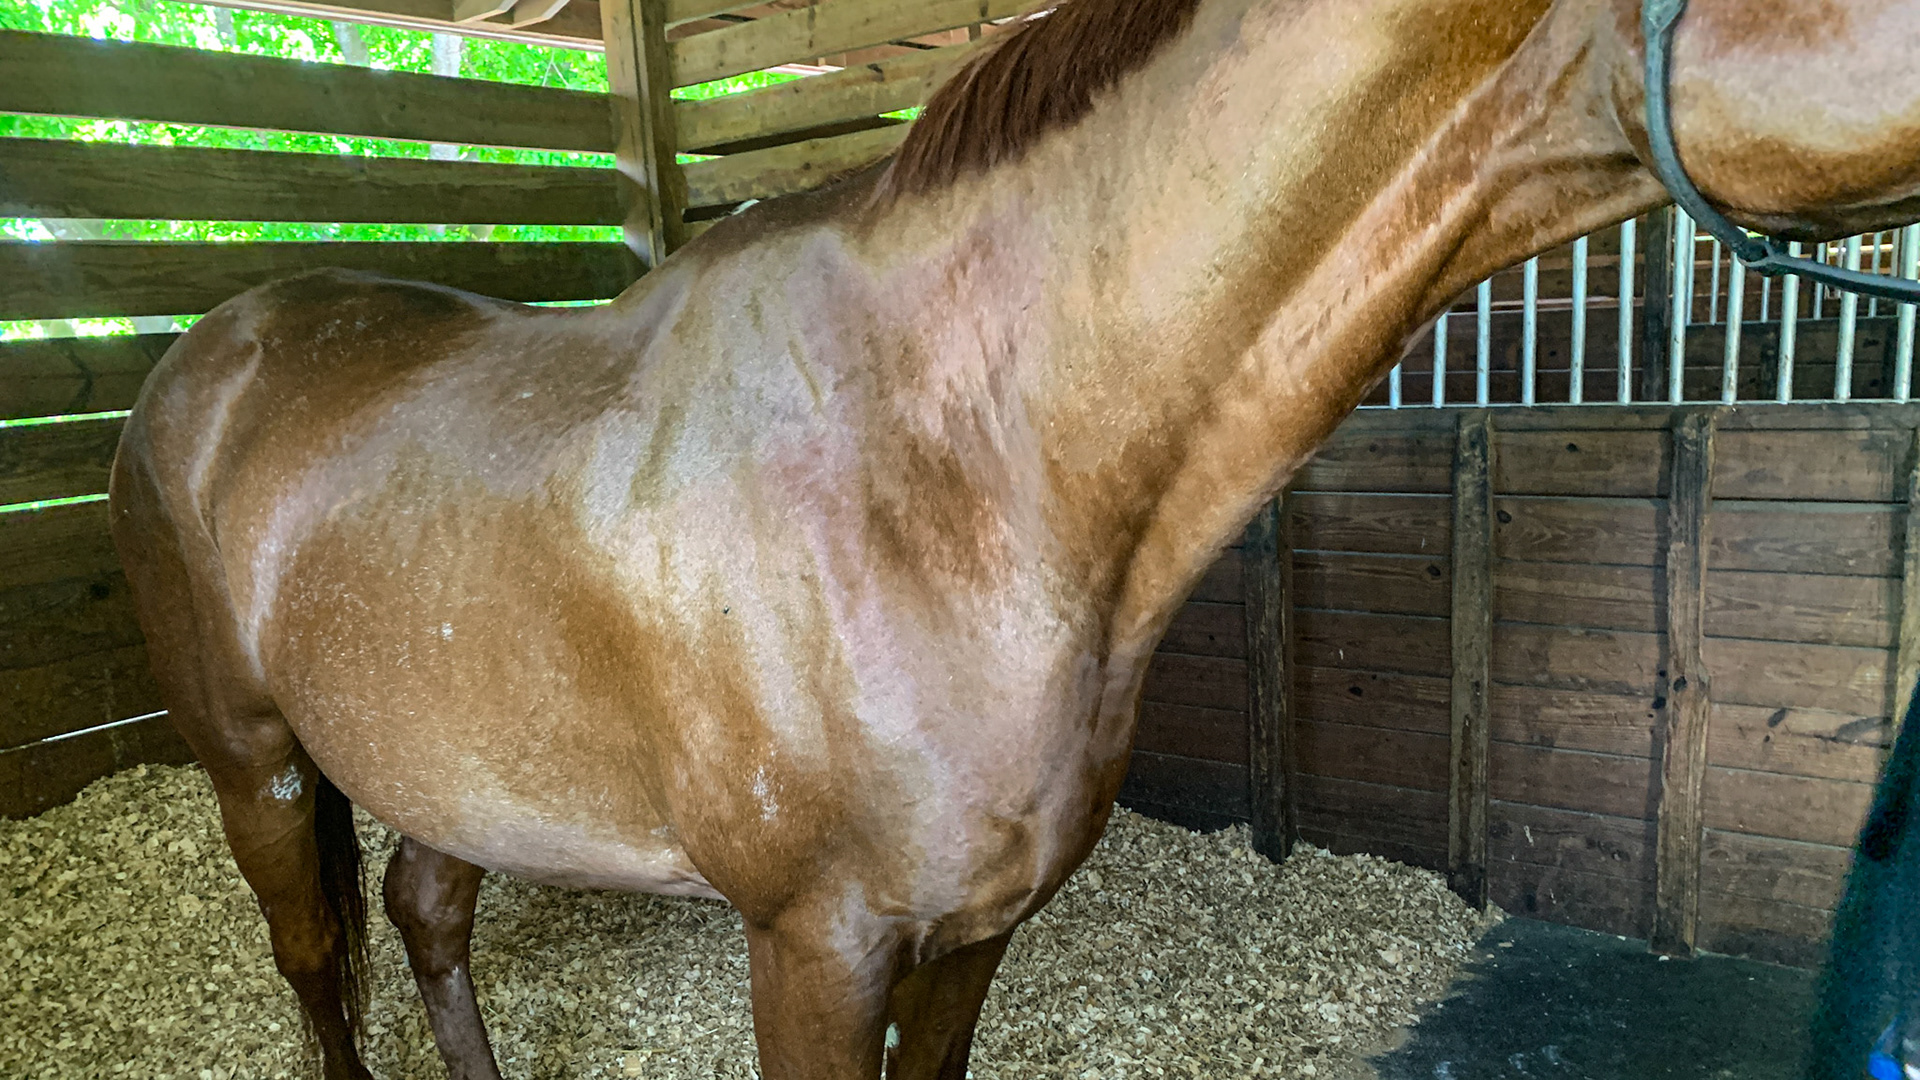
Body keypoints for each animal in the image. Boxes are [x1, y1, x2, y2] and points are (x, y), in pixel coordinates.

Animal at [107, 1, 1920, 1077]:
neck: (947, 465)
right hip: (260, 770)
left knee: (426, 916)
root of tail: (208, 357)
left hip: (450, 759)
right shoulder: (817, 948)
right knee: (320, 966)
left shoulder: (973, 935)